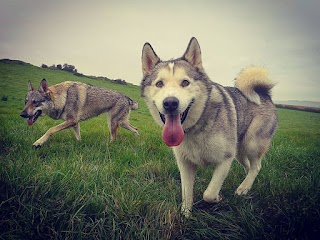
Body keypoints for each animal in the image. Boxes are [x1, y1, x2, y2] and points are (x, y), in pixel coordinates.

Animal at [140, 37, 278, 216]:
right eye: (159, 84)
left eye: (185, 82)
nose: (170, 103)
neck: (195, 129)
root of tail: (264, 94)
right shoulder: (184, 163)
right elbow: (186, 192)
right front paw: (186, 214)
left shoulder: (225, 159)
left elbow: (209, 193)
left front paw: (218, 198)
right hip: (239, 150)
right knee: (249, 167)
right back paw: (246, 186)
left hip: (251, 143)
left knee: (256, 166)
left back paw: (242, 189)